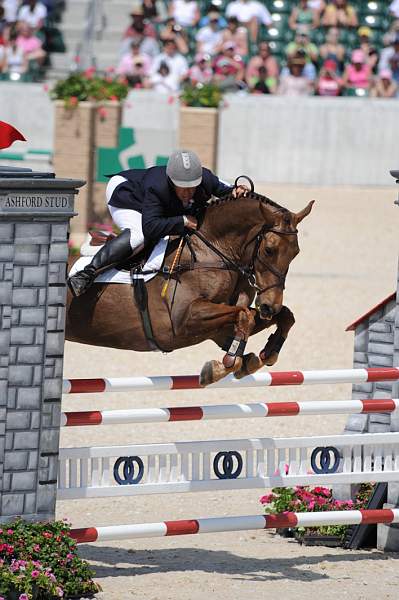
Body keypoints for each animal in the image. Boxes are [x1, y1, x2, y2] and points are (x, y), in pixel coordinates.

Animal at [66, 190, 316, 386]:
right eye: (269, 250)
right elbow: (245, 316)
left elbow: (280, 316)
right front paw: (225, 365)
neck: (212, 251)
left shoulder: (219, 329)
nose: (269, 306)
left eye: (296, 253)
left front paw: (264, 354)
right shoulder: (182, 321)